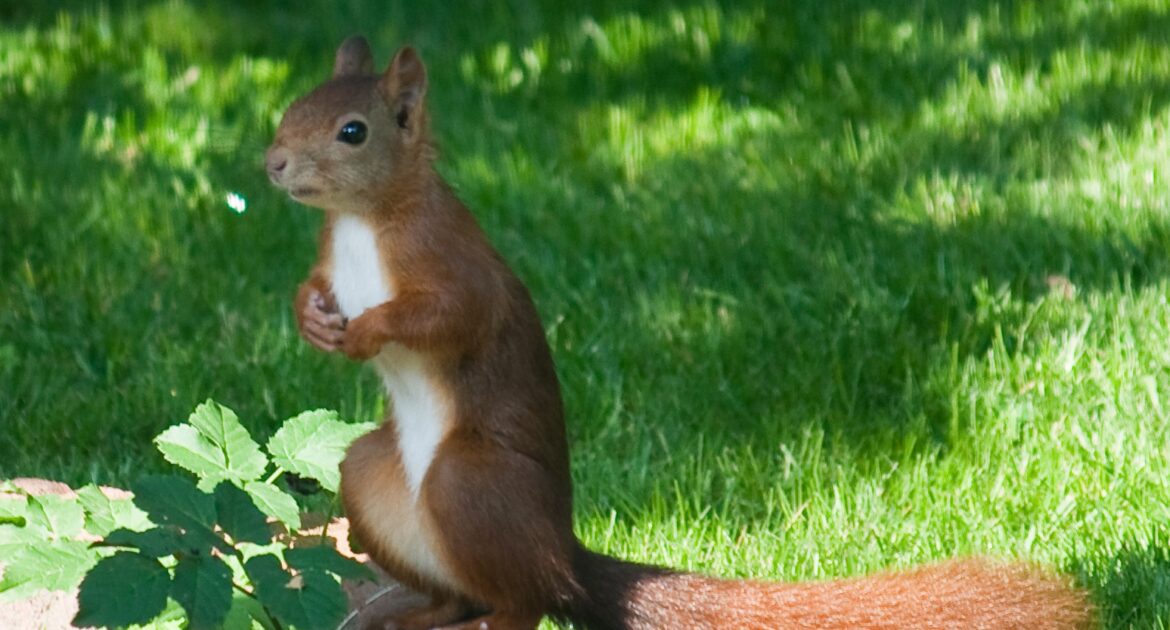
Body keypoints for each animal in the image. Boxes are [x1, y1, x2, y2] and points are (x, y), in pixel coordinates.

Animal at [265, 36, 1095, 630]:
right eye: (291, 107)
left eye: (351, 131)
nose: (272, 162)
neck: (364, 222)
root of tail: (562, 557)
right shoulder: (331, 260)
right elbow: (311, 288)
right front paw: (311, 318)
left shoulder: (450, 261)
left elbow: (449, 316)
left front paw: (367, 333)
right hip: (371, 475)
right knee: (462, 592)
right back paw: (416, 616)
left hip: (469, 482)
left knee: (524, 604)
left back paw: (496, 616)